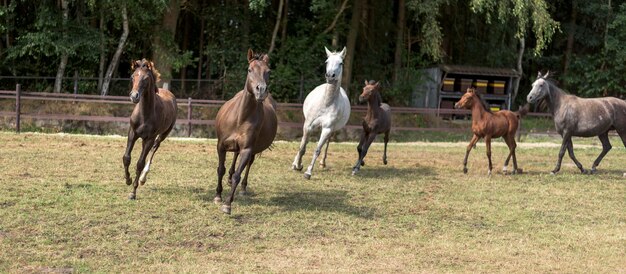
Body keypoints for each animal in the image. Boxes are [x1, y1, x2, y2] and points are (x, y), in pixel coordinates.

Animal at [122, 58, 176, 199]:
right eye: (132, 76)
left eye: (146, 78)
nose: (134, 96)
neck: (145, 113)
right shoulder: (132, 133)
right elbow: (126, 158)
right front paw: (127, 179)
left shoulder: (150, 138)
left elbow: (140, 163)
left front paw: (133, 192)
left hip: (162, 135)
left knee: (153, 150)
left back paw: (143, 178)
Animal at [212, 48, 276, 214]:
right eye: (249, 69)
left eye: (268, 71)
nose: (261, 91)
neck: (240, 118)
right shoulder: (221, 145)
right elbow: (220, 169)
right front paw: (218, 196)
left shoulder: (247, 149)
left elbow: (238, 175)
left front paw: (227, 204)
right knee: (235, 156)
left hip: (253, 150)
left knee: (248, 164)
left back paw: (243, 188)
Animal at [290, 46, 348, 180]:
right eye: (326, 62)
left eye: (341, 63)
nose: (330, 76)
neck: (326, 103)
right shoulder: (308, 125)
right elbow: (302, 147)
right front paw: (297, 165)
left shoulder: (327, 128)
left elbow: (317, 150)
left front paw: (308, 172)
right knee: (303, 142)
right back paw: (295, 163)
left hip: (331, 130)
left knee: (326, 144)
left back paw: (322, 163)